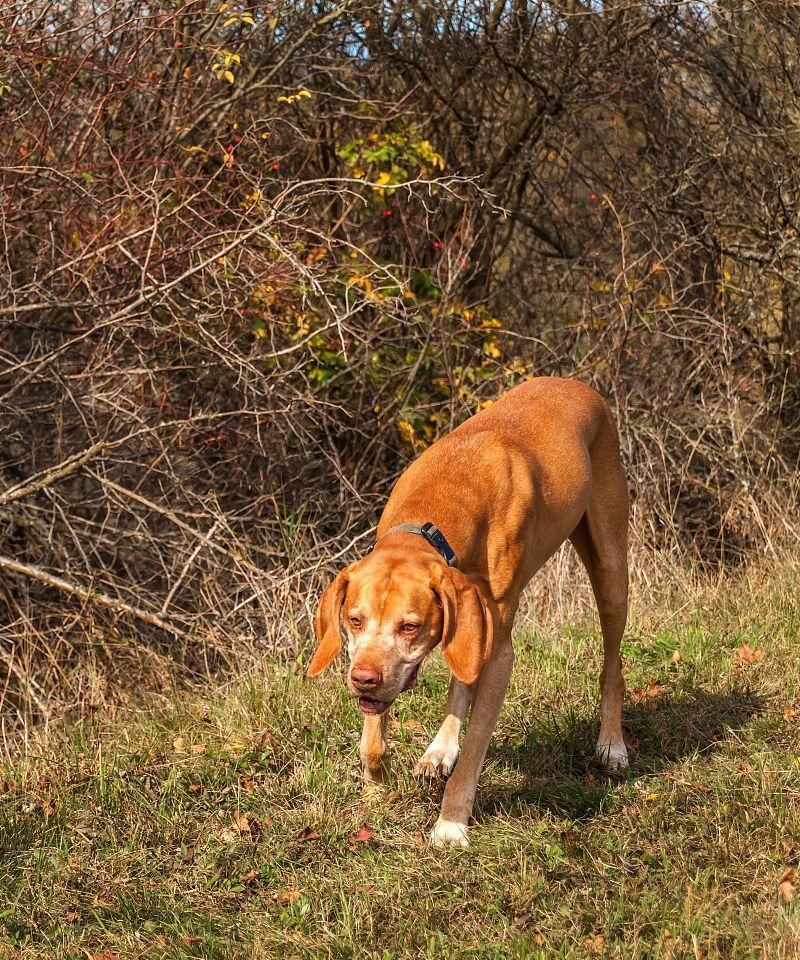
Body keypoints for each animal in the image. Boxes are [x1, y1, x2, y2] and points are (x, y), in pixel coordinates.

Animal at [310, 376, 628, 848]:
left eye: (410, 627)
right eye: (354, 620)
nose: (362, 679)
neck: (442, 507)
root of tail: (578, 384)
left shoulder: (498, 652)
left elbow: (477, 745)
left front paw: (451, 822)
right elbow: (375, 737)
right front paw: (378, 777)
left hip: (610, 568)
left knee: (612, 665)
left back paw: (612, 744)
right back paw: (439, 750)